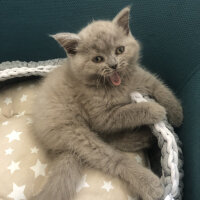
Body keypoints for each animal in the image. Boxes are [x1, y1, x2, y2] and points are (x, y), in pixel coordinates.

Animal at [31, 7, 183, 200]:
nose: (113, 65)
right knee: (112, 158)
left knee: (109, 138)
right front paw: (154, 109)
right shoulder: (102, 117)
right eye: (97, 59)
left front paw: (176, 113)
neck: (118, 86)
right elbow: (128, 111)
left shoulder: (141, 78)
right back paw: (149, 183)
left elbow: (159, 87)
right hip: (74, 132)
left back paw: (142, 138)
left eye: (120, 50)